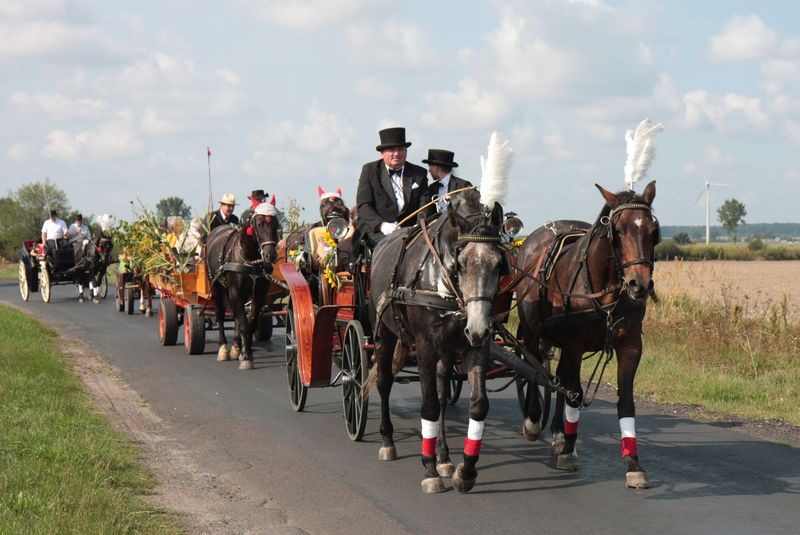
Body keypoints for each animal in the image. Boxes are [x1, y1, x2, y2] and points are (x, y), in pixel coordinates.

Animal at [203, 199, 282, 370]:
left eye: (276, 224)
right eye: (259, 224)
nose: (270, 255)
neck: (249, 258)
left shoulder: (259, 294)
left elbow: (250, 323)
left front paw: (246, 352)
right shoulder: (235, 291)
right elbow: (244, 324)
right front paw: (245, 357)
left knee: (236, 316)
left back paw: (236, 347)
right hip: (216, 285)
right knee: (220, 314)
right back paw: (223, 349)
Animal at [516, 182, 660, 492]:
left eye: (653, 231)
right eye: (617, 231)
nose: (639, 285)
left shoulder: (631, 346)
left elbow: (625, 401)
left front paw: (633, 464)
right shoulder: (574, 345)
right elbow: (575, 394)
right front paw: (568, 449)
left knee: (557, 377)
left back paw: (558, 433)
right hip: (532, 330)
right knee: (533, 371)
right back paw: (534, 421)